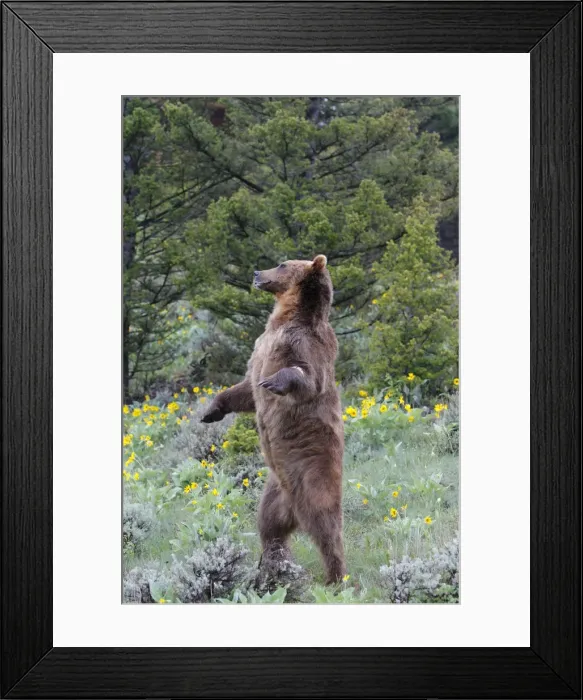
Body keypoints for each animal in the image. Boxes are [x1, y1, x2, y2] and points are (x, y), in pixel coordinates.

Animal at [201, 254, 346, 584]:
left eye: (281, 264)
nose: (256, 272)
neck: (285, 317)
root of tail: (294, 508)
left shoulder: (305, 344)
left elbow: (306, 376)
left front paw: (275, 382)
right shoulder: (260, 348)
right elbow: (245, 389)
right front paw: (211, 410)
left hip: (314, 473)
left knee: (327, 528)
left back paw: (336, 578)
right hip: (274, 492)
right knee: (269, 527)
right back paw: (270, 565)